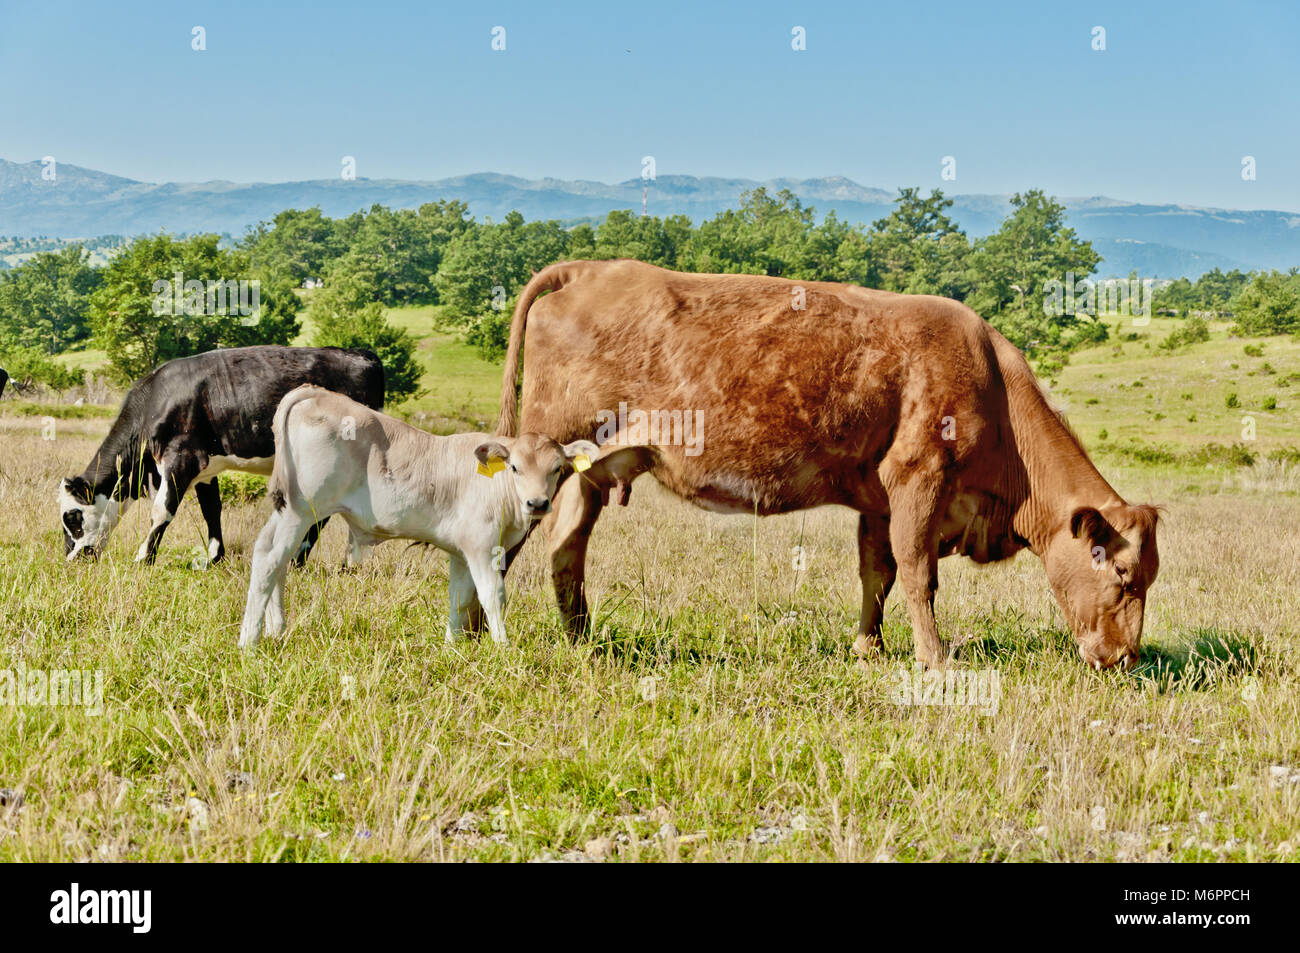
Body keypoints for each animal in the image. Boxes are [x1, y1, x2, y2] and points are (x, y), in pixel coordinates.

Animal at [59, 345, 382, 561]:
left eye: (73, 518)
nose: (72, 560)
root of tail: (362, 355)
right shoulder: (205, 467)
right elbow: (211, 509)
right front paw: (214, 557)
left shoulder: (181, 457)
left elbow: (163, 509)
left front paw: (143, 558)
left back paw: (312, 560)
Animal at [237, 384, 618, 647]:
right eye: (515, 468)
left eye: (557, 468)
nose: (537, 504)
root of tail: (313, 392)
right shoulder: (482, 547)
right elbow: (492, 595)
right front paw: (504, 647)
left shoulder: (461, 552)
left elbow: (460, 599)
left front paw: (452, 647)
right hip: (302, 510)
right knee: (271, 559)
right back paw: (249, 641)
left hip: (291, 511)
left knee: (272, 556)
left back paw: (275, 629)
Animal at [493, 258, 1159, 670]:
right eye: (1124, 576)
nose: (1126, 659)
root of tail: (594, 268)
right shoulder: (918, 476)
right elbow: (918, 574)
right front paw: (935, 659)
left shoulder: (878, 501)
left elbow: (878, 574)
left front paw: (868, 648)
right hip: (543, 450)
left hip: (591, 468)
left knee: (567, 545)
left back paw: (580, 638)